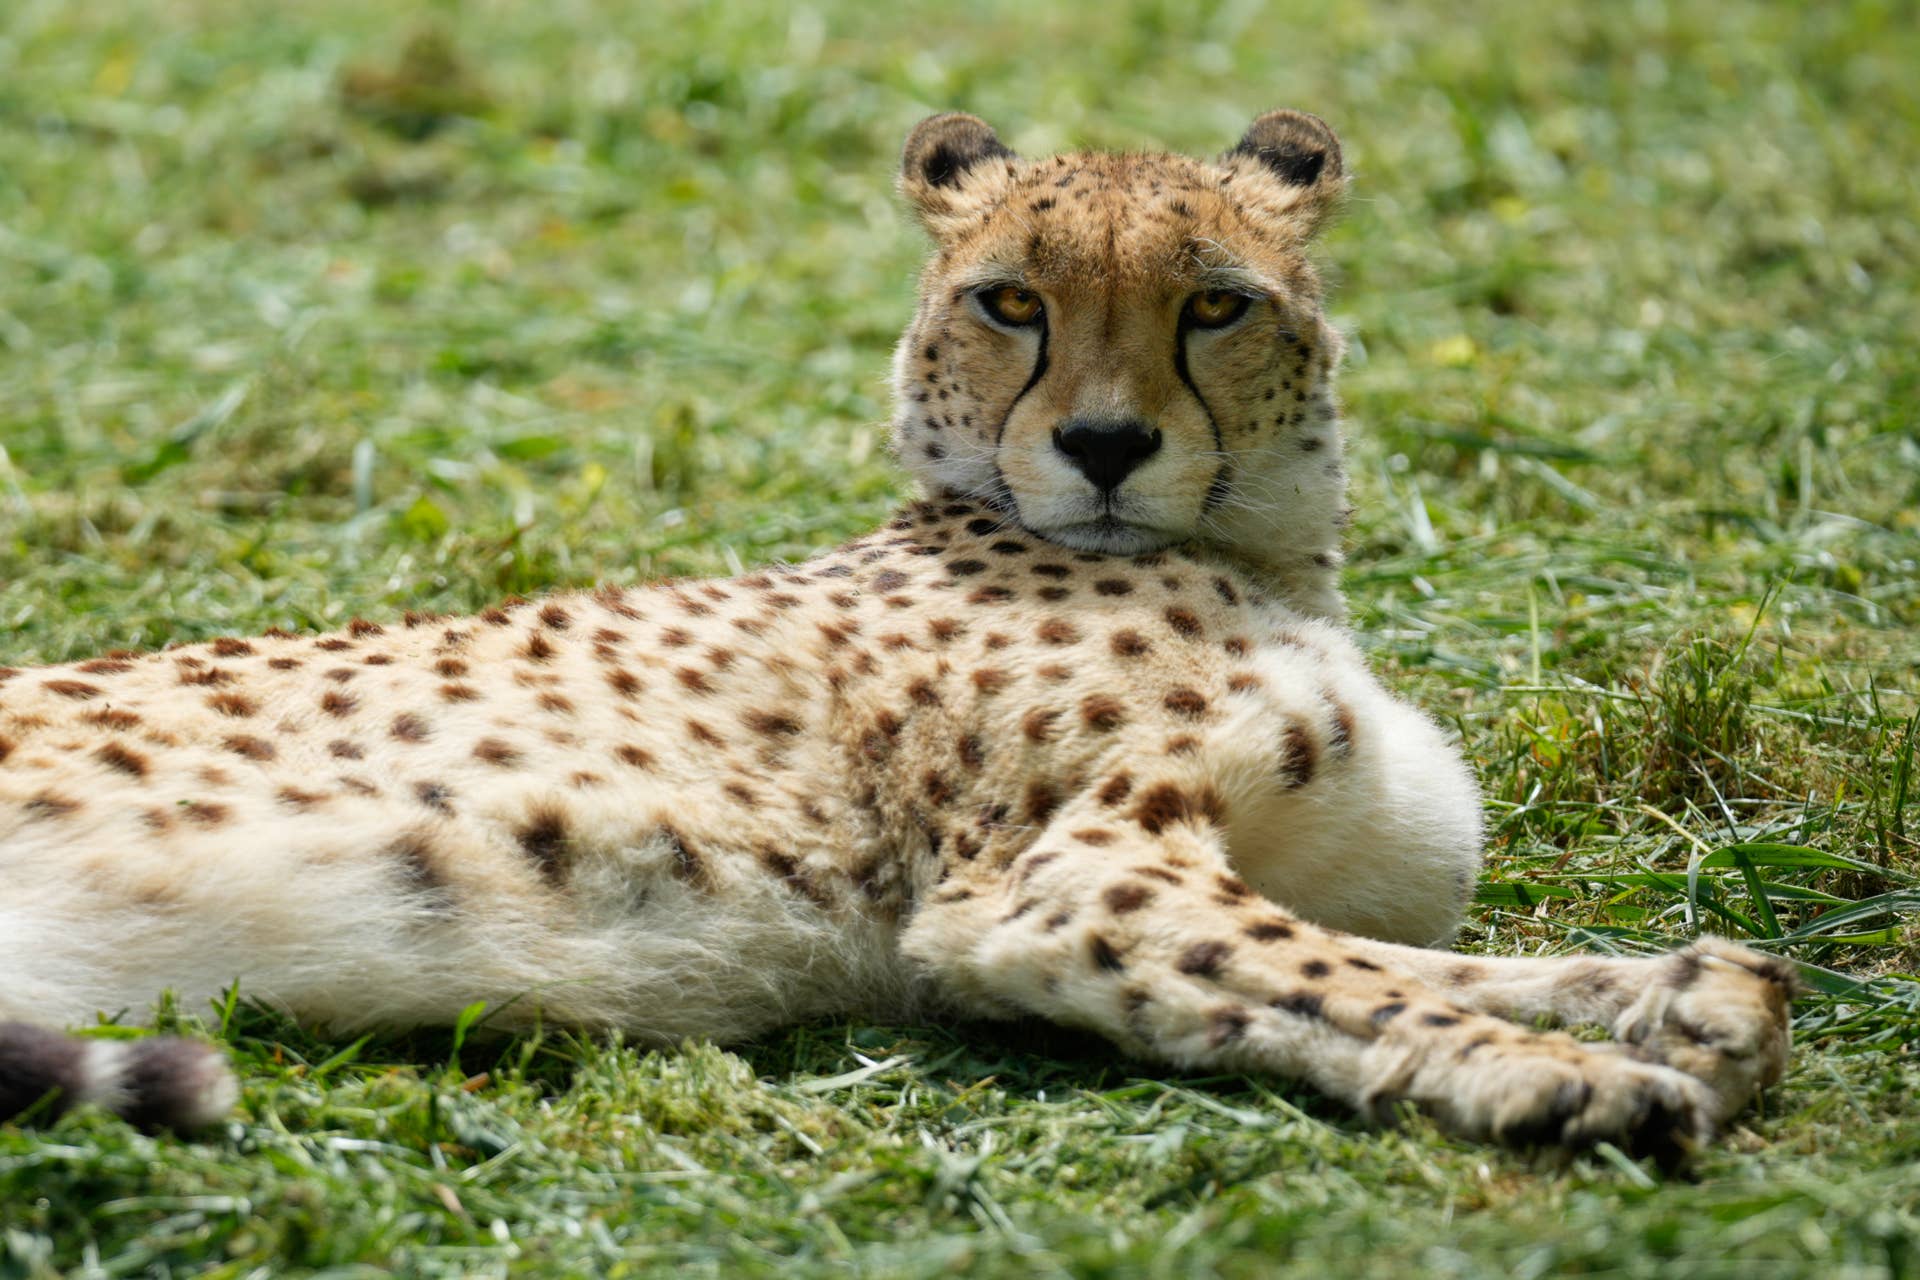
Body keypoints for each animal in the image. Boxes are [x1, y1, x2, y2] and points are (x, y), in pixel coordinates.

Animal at [0, 109, 1798, 1162]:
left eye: (1214, 305)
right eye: (1013, 302)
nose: (1103, 447)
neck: (1268, 555)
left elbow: (1422, 955)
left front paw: (1679, 995)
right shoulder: (1063, 883)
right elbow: (1338, 977)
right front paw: (1555, 1074)